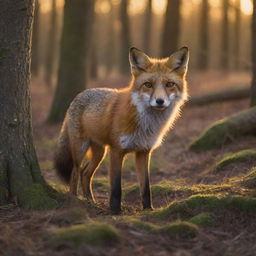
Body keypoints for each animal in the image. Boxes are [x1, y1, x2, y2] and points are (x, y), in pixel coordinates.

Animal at [54, 46, 189, 214]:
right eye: (148, 85)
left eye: (170, 84)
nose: (160, 101)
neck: (145, 125)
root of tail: (79, 95)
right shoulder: (117, 151)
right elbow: (116, 188)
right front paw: (115, 211)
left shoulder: (143, 152)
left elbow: (146, 187)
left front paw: (148, 209)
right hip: (80, 149)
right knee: (74, 173)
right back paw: (74, 201)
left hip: (99, 152)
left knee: (85, 174)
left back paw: (91, 201)